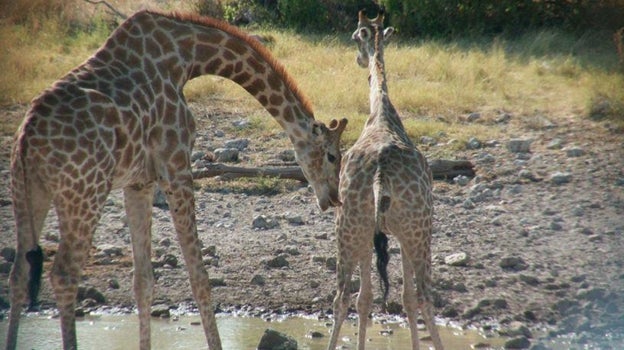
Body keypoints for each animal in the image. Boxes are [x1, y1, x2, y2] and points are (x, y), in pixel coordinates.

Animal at [4, 8, 348, 350]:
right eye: (332, 155)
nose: (333, 197)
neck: (187, 58)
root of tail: (27, 138)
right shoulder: (177, 166)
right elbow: (199, 277)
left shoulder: (139, 181)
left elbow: (143, 281)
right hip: (84, 193)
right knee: (63, 274)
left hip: (28, 190)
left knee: (19, 273)